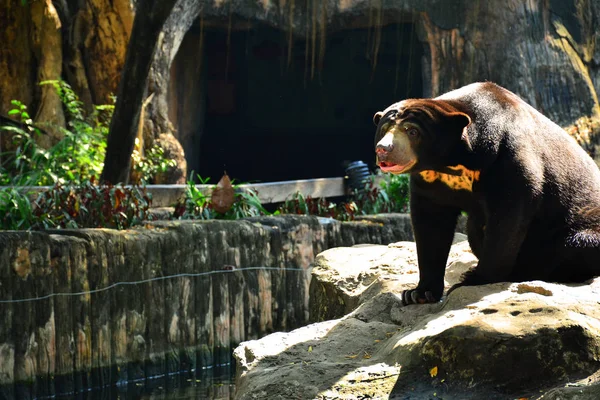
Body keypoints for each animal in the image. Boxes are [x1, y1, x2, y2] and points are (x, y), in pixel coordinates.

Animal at [376, 83, 600, 304]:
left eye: (412, 131)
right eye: (384, 129)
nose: (383, 149)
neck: (451, 162)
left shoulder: (506, 157)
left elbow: (508, 216)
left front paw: (473, 280)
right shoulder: (430, 181)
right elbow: (431, 224)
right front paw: (418, 293)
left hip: (582, 231)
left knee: (576, 245)